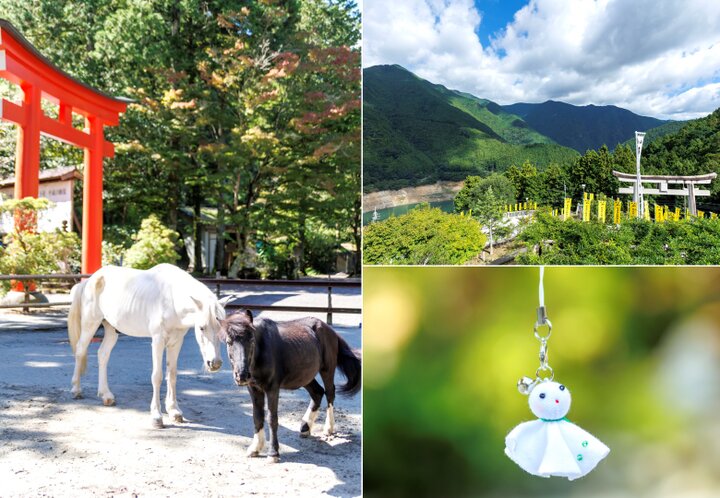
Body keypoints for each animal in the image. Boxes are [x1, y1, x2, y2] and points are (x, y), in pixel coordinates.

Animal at [67, 263, 228, 428]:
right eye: (201, 328)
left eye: (222, 328)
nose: (215, 363)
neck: (171, 301)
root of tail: (90, 280)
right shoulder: (158, 341)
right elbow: (157, 376)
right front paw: (156, 416)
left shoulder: (176, 343)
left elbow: (172, 375)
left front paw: (174, 411)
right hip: (90, 324)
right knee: (80, 350)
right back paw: (76, 390)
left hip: (111, 330)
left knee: (103, 355)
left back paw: (106, 396)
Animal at [219, 310, 361, 461]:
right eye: (229, 342)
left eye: (251, 340)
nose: (242, 375)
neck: (261, 350)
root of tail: (329, 329)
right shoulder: (254, 389)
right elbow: (257, 417)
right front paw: (255, 448)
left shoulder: (272, 388)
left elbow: (272, 419)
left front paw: (273, 453)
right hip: (305, 376)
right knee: (317, 392)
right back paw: (305, 427)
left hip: (327, 369)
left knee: (330, 393)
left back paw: (328, 428)